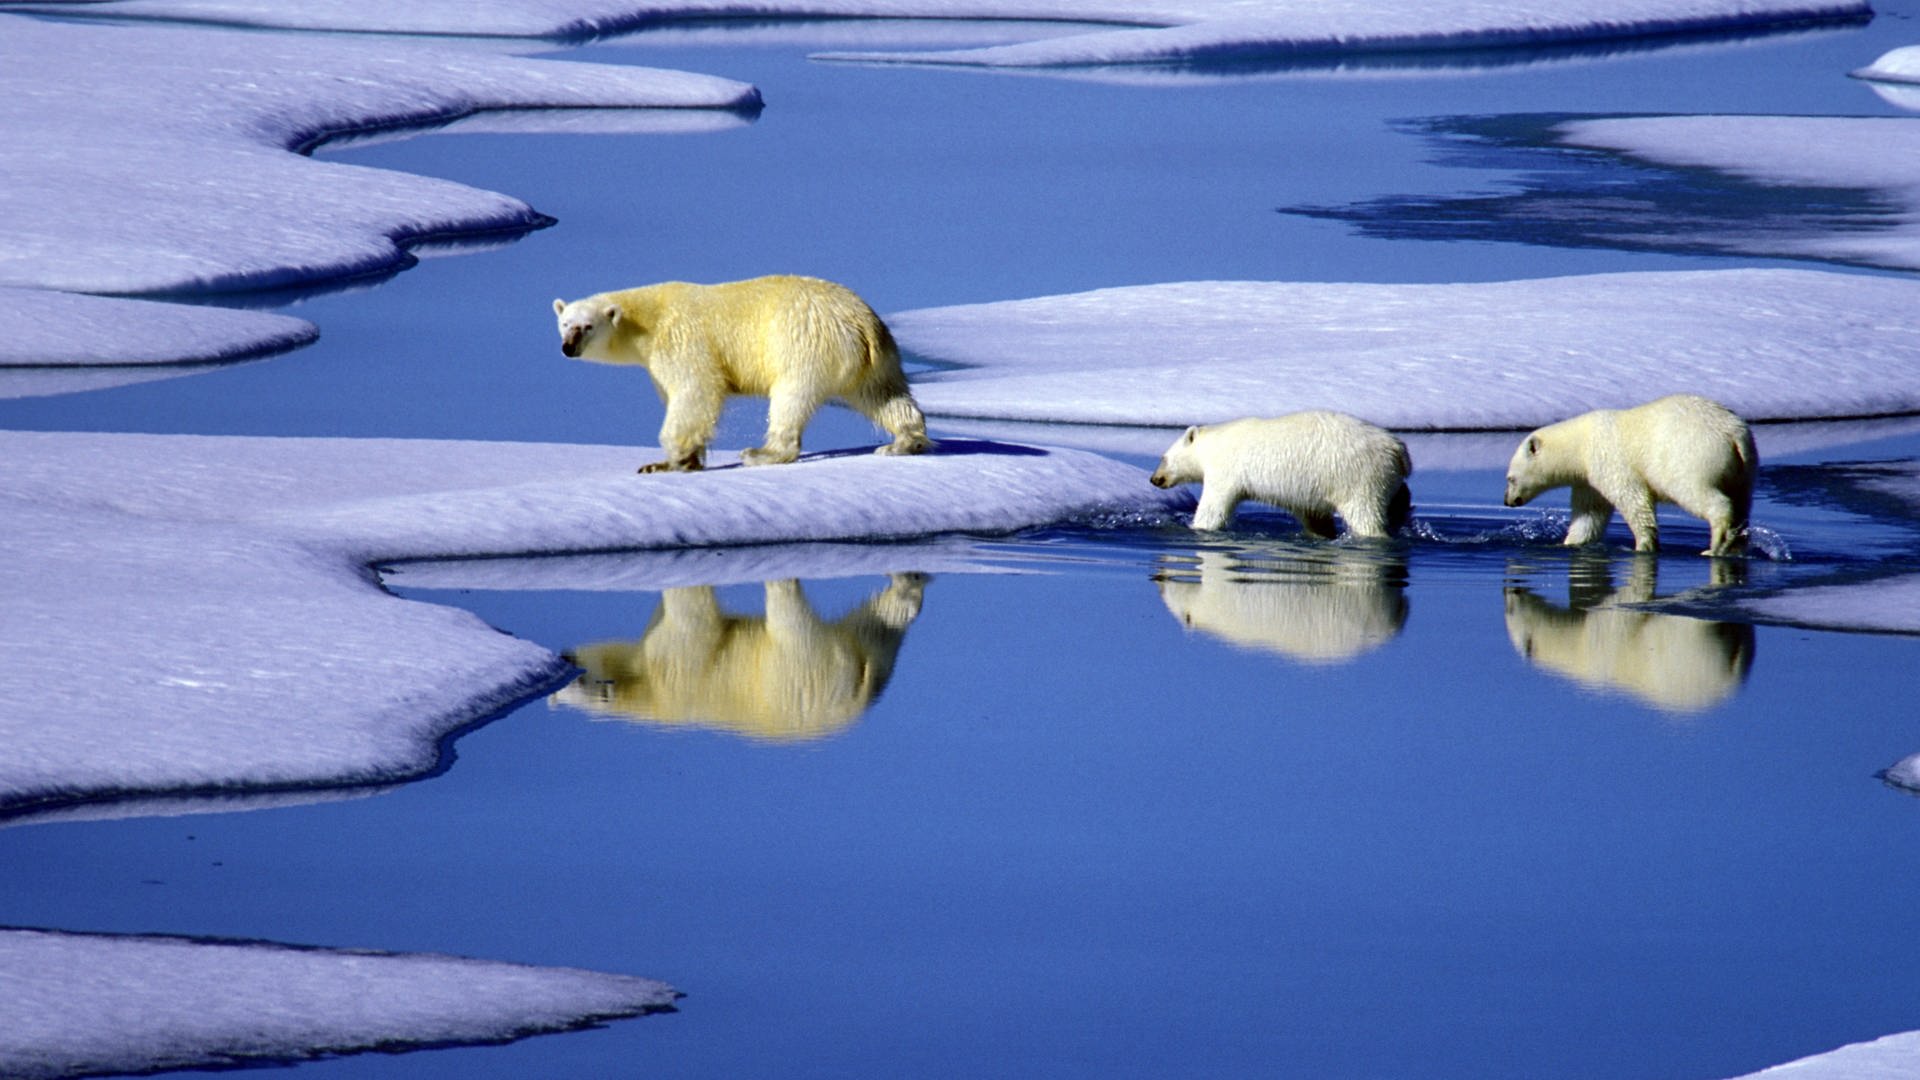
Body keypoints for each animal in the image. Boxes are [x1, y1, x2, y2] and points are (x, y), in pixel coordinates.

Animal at [556, 272, 929, 466]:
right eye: (564, 323)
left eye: (587, 326)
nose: (568, 348)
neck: (647, 319)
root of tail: (862, 322)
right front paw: (689, 459)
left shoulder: (679, 338)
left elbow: (696, 390)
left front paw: (665, 462)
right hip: (877, 358)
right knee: (883, 395)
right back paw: (903, 443)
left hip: (804, 343)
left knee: (790, 397)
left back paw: (762, 452)